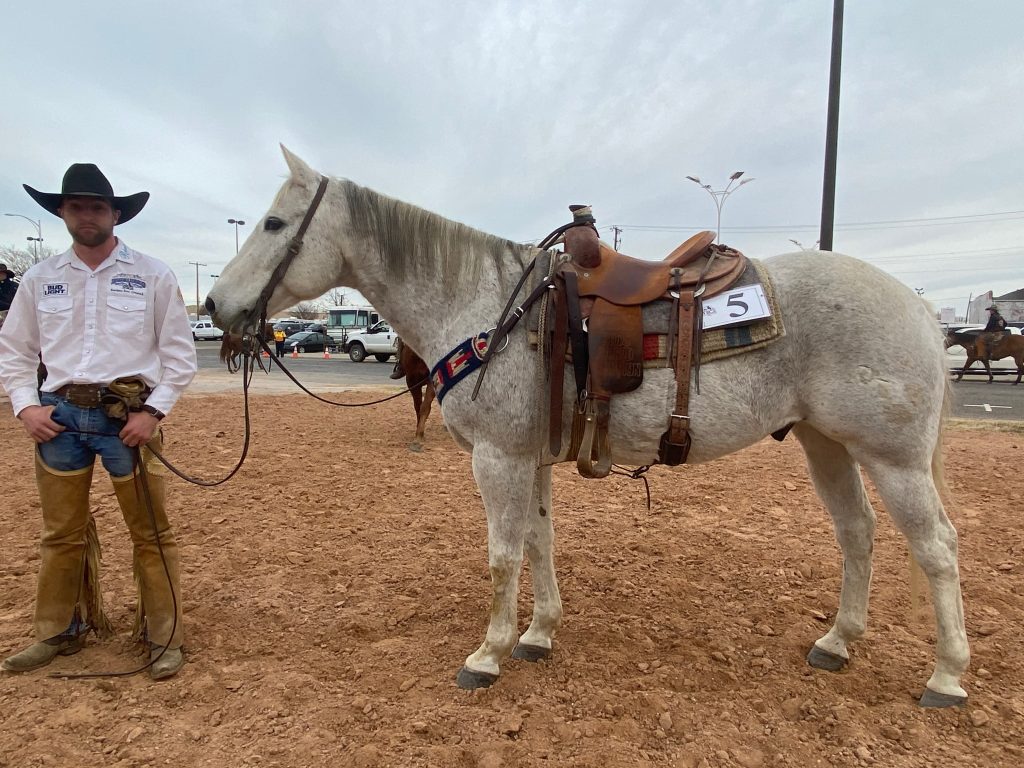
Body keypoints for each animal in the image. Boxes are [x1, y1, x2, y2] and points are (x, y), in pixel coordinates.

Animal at [205, 147, 969, 707]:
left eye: (275, 225)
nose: (215, 305)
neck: (489, 307)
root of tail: (918, 306)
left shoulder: (497, 458)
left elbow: (502, 555)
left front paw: (487, 654)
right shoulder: (530, 457)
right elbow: (538, 543)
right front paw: (538, 634)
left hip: (894, 458)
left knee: (935, 548)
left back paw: (947, 675)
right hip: (827, 444)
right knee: (857, 533)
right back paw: (837, 642)